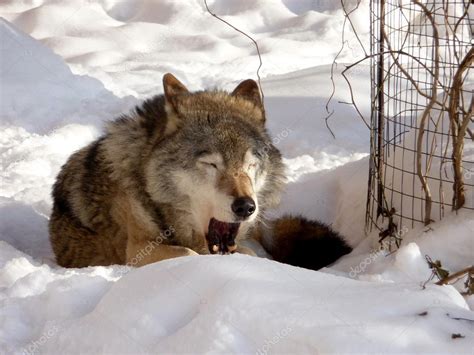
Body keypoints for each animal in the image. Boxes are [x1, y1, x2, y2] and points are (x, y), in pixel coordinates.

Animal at [49, 74, 352, 270]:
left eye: (250, 164)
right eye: (211, 164)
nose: (245, 207)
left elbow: (250, 254)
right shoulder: (137, 250)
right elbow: (187, 253)